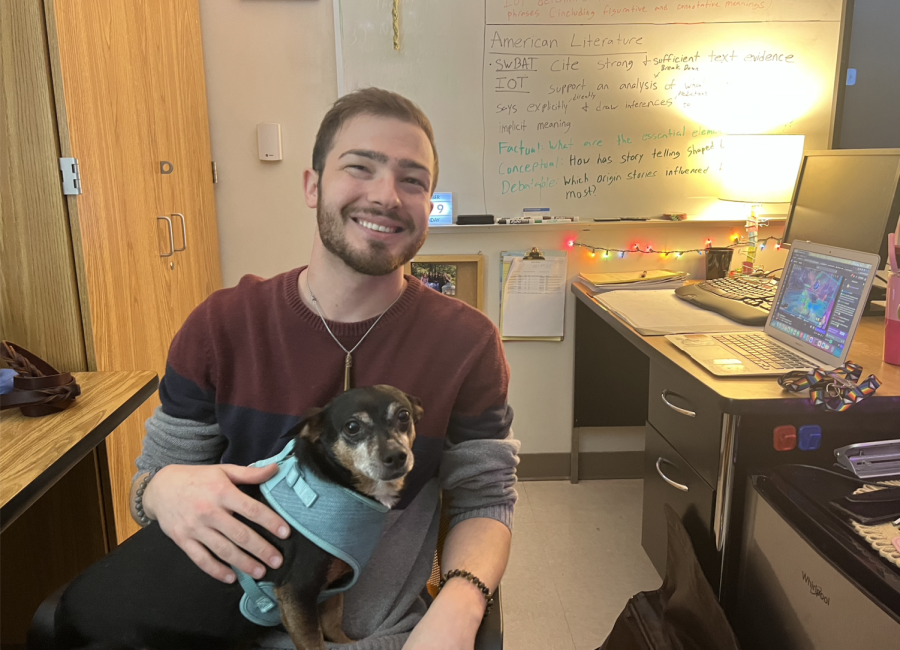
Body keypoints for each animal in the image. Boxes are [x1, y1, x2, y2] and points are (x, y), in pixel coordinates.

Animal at [56, 382, 422, 644]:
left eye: (403, 416)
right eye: (352, 427)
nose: (396, 457)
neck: (337, 482)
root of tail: (61, 615)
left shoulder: (331, 592)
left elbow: (334, 630)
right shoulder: (297, 593)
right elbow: (315, 641)